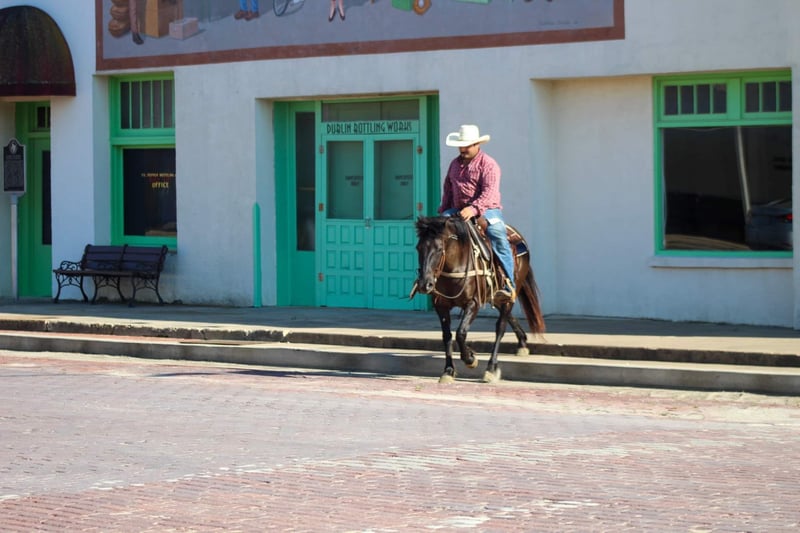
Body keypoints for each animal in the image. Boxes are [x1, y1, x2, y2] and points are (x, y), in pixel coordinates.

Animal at [412, 215, 545, 384]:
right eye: (418, 248)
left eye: (439, 249)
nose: (424, 284)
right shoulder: (441, 305)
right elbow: (447, 336)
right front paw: (448, 370)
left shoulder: (473, 303)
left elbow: (461, 333)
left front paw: (470, 358)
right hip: (495, 296)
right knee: (507, 316)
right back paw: (522, 343)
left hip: (510, 294)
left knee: (500, 327)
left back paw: (491, 368)